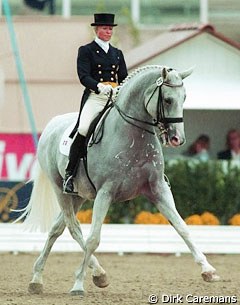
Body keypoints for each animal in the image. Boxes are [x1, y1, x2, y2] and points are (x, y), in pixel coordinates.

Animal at [18, 65, 219, 296]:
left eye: (184, 97)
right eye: (168, 100)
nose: (178, 139)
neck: (133, 135)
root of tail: (52, 124)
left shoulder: (158, 189)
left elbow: (182, 227)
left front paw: (208, 270)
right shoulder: (105, 193)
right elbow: (93, 239)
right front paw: (78, 284)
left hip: (79, 195)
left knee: (57, 228)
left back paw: (43, 278)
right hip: (60, 190)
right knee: (73, 227)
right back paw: (90, 275)